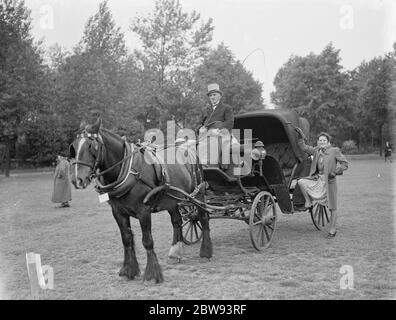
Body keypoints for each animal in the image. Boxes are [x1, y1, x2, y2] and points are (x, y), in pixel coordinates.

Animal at [69, 119, 212, 284]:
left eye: (91, 146)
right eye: (74, 146)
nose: (77, 180)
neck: (128, 171)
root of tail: (187, 147)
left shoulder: (143, 211)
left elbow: (147, 241)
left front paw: (152, 274)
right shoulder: (118, 212)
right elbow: (126, 239)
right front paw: (128, 270)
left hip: (198, 194)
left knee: (203, 218)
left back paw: (206, 252)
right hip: (171, 199)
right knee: (177, 222)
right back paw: (175, 252)